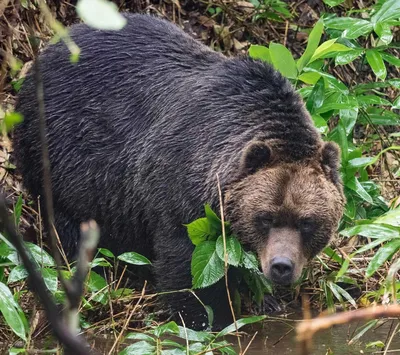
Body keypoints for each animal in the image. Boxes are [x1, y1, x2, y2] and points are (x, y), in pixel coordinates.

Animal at [11, 13, 344, 330]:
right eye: (265, 217)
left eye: (306, 222)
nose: (281, 266)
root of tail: (51, 46)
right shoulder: (179, 188)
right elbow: (184, 265)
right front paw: (205, 317)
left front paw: (265, 299)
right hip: (60, 152)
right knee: (69, 221)